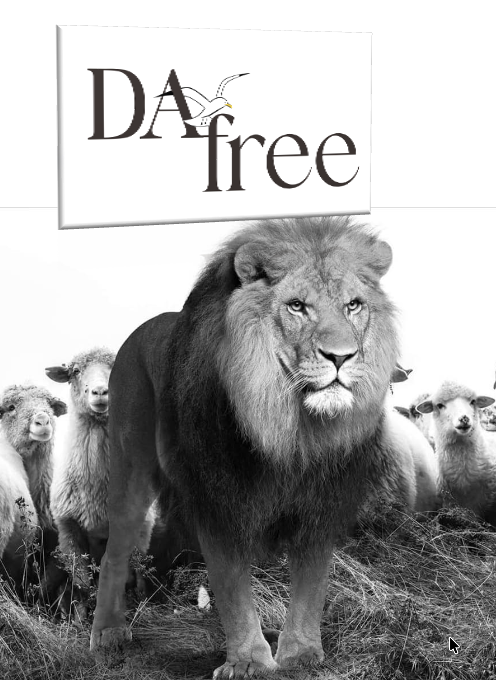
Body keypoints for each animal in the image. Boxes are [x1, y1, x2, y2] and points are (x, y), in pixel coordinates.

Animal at [91, 216, 408, 677]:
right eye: (297, 306)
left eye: (353, 305)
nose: (342, 357)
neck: (289, 429)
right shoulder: (218, 498)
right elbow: (232, 588)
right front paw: (249, 662)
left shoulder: (320, 502)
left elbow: (312, 583)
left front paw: (300, 655)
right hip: (131, 467)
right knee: (114, 551)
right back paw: (108, 633)